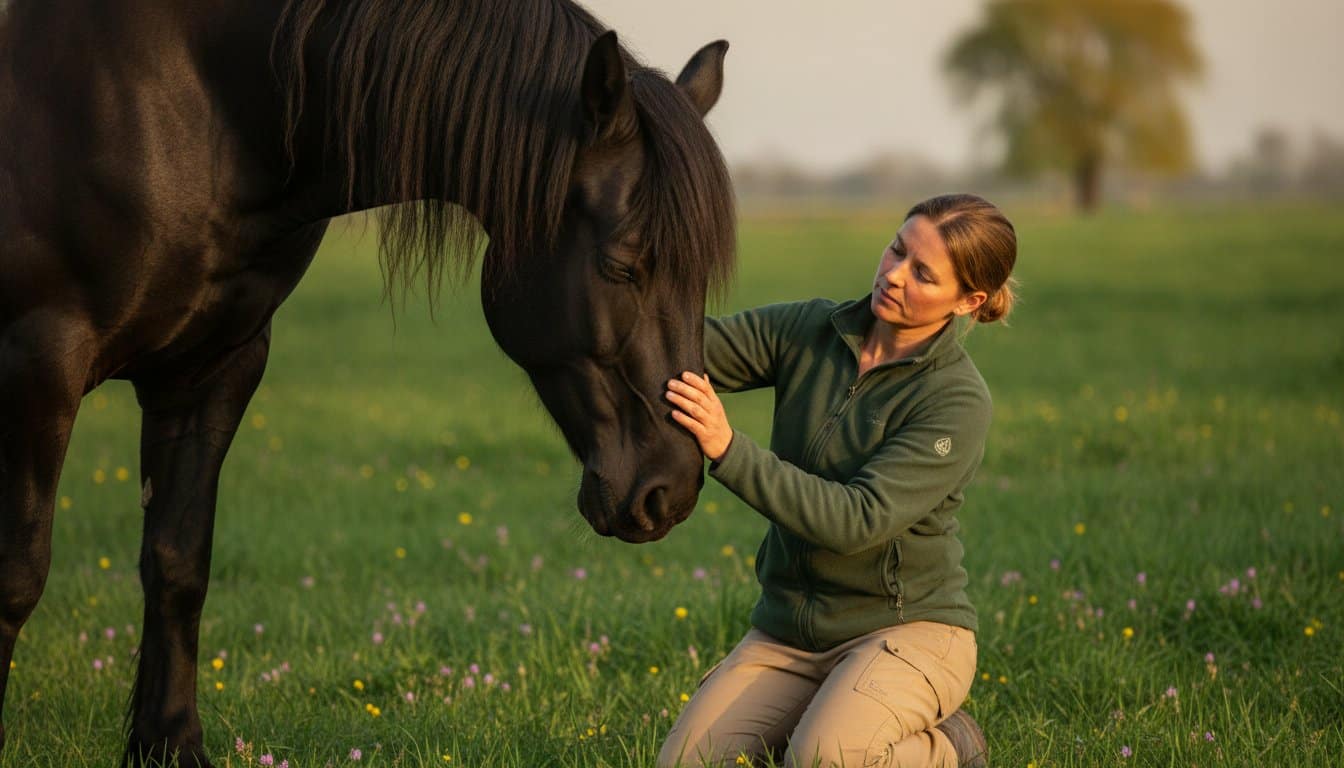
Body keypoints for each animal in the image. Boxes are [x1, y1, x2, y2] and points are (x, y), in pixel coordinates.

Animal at [0, 0, 735, 763]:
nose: (671, 491)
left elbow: (177, 564)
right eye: (624, 265)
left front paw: (171, 745)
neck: (195, 98)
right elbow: (16, 577)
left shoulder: (212, 368)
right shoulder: (39, 358)